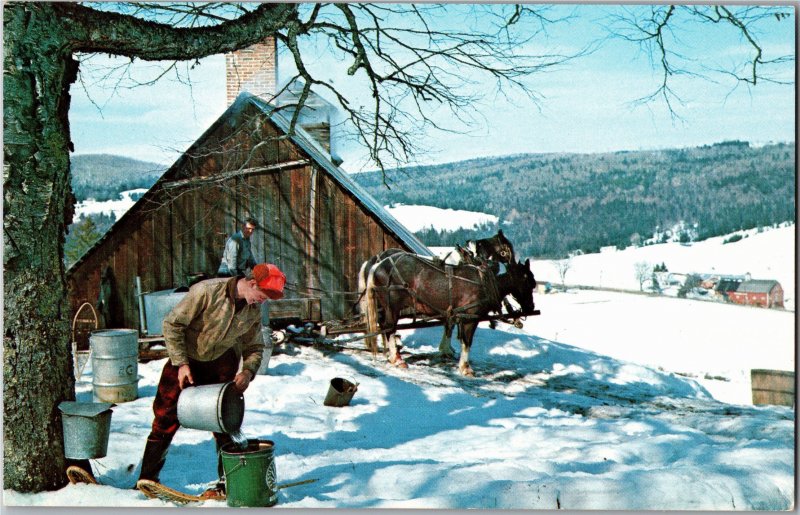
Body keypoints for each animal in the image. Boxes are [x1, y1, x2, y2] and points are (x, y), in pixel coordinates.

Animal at [366, 252, 536, 376]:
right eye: (529, 282)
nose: (530, 306)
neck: (484, 281)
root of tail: (378, 265)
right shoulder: (470, 318)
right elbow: (467, 342)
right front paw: (465, 368)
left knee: (386, 327)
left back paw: (390, 355)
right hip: (392, 305)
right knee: (389, 328)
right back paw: (397, 359)